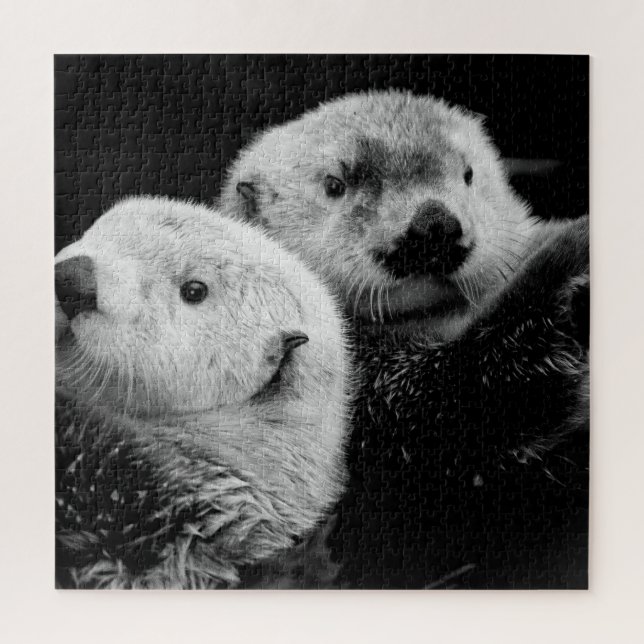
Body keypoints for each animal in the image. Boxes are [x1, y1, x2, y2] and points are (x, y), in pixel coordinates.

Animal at [221, 90, 590, 588]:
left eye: (468, 174)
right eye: (335, 184)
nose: (434, 223)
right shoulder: (363, 393)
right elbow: (464, 402)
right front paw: (571, 250)